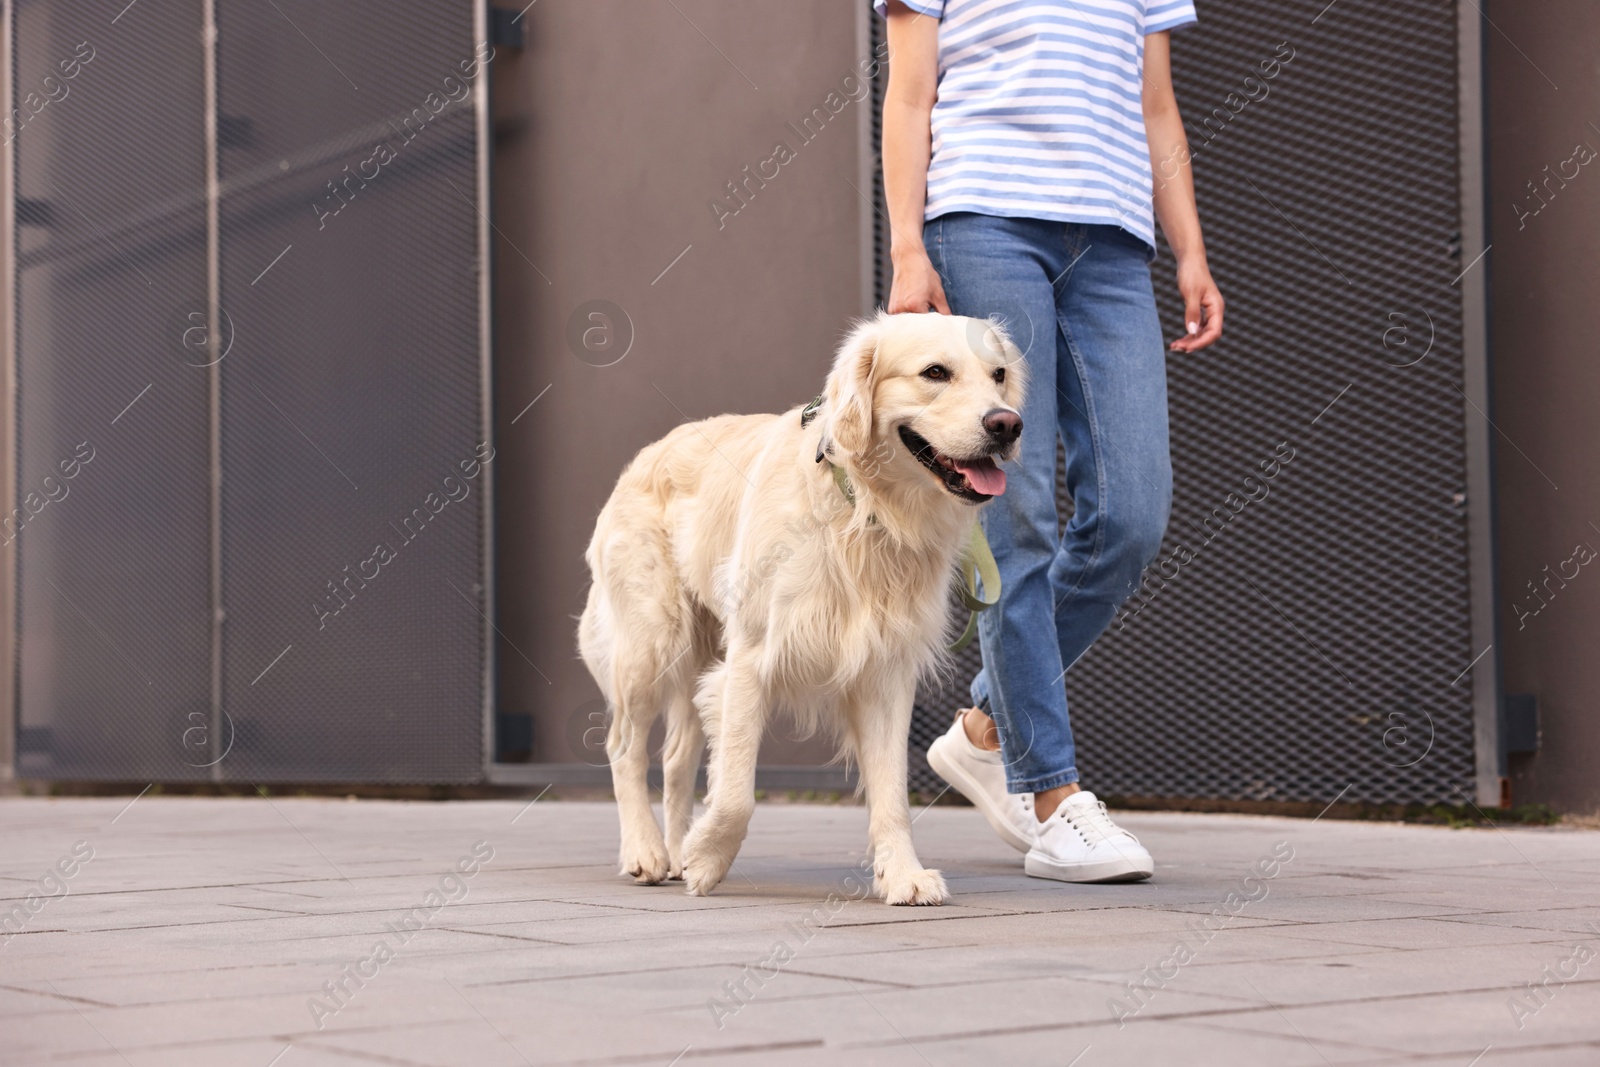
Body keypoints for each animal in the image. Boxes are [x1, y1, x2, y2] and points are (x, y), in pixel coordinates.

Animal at [576, 313, 1024, 908]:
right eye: (935, 372)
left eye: (999, 375)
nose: (1008, 424)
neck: (865, 508)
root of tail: (646, 455)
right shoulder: (750, 658)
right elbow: (737, 790)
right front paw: (709, 858)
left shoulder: (884, 671)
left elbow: (892, 792)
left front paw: (902, 874)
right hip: (653, 641)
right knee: (624, 747)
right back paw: (647, 851)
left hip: (697, 654)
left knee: (675, 759)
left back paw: (673, 849)